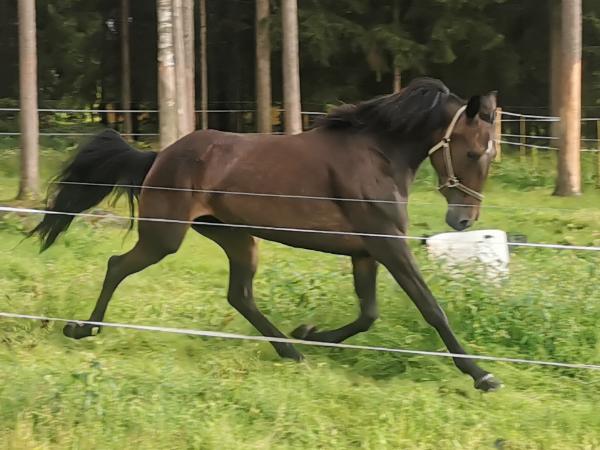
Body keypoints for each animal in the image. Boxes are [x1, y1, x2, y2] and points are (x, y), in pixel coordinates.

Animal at [30, 78, 500, 391]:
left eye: (489, 154)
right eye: (474, 152)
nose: (463, 220)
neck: (377, 156)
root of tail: (160, 155)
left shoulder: (366, 252)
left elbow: (368, 314)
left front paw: (310, 333)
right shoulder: (388, 245)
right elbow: (430, 308)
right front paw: (482, 375)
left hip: (237, 238)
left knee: (239, 296)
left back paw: (291, 350)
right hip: (165, 236)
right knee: (117, 266)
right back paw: (82, 329)